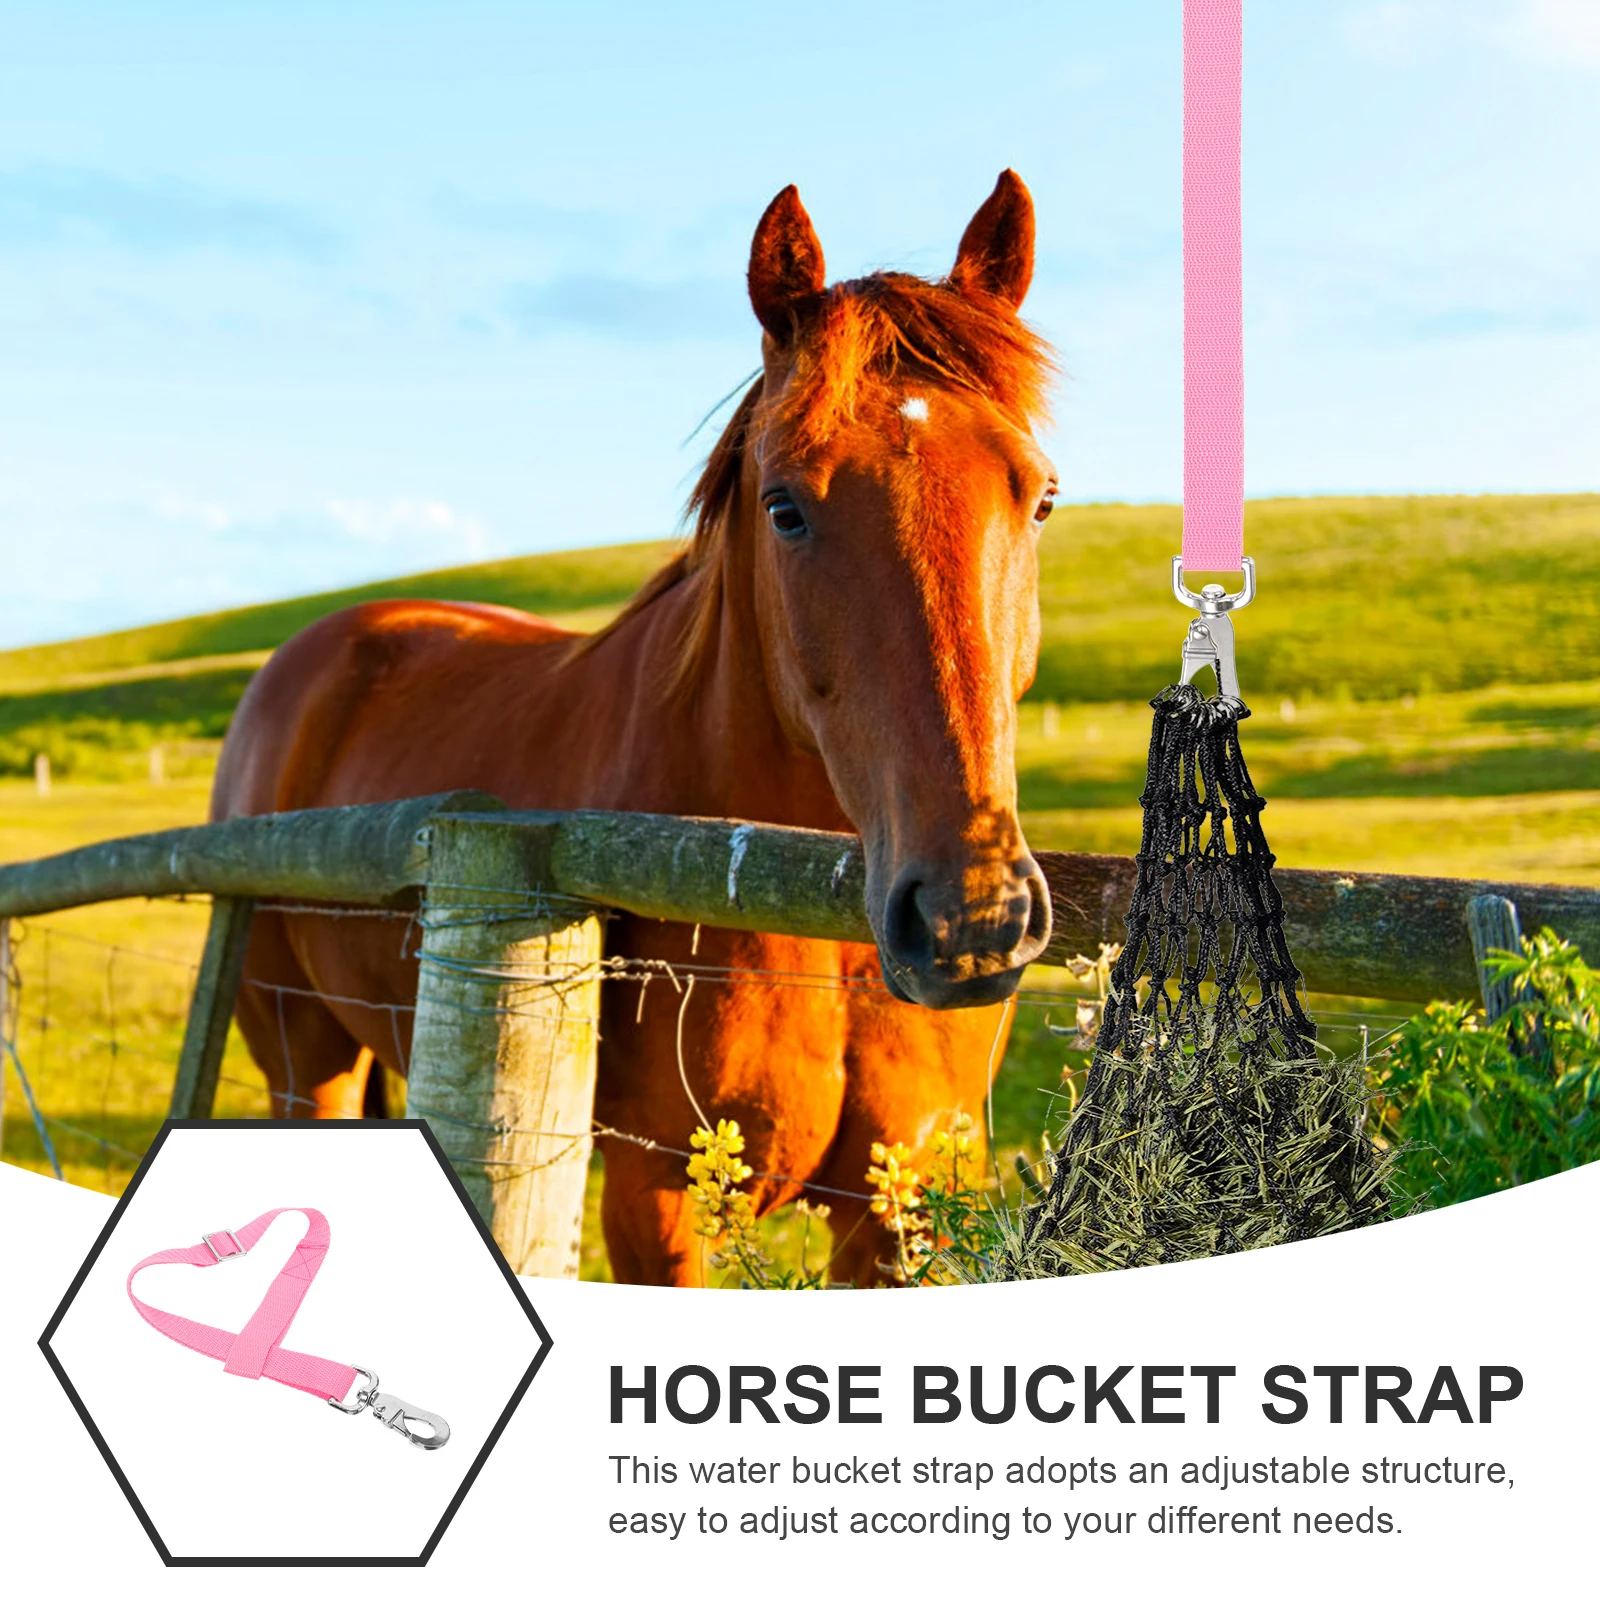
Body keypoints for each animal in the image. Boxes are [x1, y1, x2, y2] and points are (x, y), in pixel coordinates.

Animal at [211, 170, 1059, 1286]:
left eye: (1039, 498)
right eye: (785, 507)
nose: (970, 921)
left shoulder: (893, 1210)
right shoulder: (659, 1200)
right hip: (304, 1060)